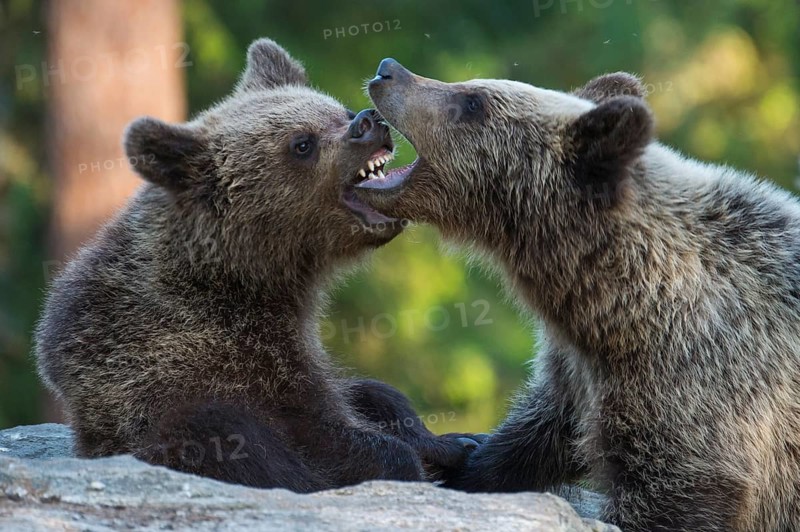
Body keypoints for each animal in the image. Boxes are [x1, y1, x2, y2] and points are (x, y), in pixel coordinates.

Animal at [34, 40, 477, 492]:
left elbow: (366, 395)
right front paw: (403, 461)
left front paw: (452, 441)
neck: (246, 275)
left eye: (338, 111)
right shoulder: (213, 349)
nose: (368, 122)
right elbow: (317, 428)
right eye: (302, 144)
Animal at [353, 59, 800, 531]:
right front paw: (464, 459)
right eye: (471, 89)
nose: (387, 71)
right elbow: (534, 435)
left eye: (473, 102)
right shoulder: (576, 369)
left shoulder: (705, 380)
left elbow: (671, 493)